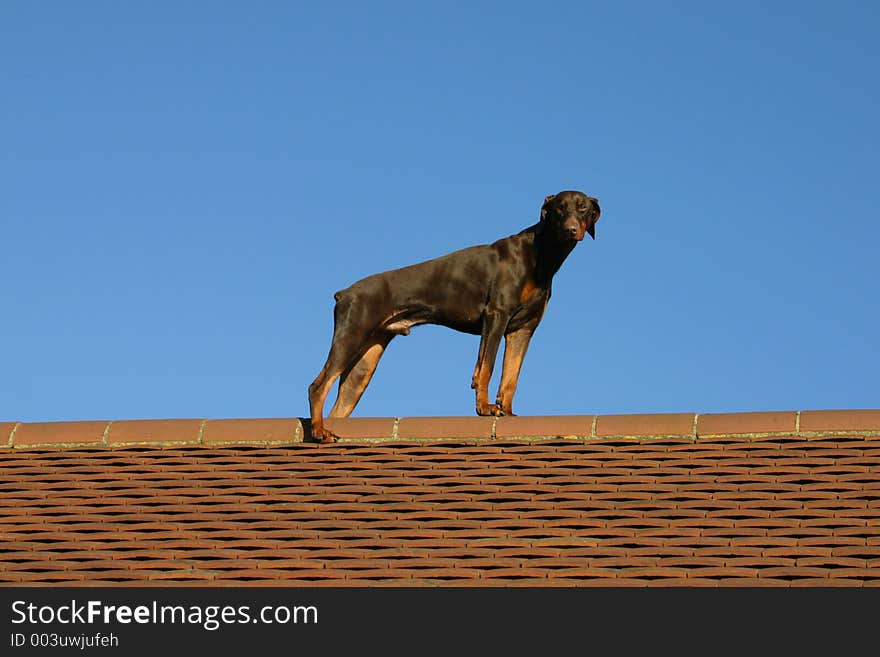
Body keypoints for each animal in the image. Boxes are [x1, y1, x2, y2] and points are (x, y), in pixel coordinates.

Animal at [306, 190, 600, 440]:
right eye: (560, 208)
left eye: (582, 207)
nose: (571, 230)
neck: (540, 254)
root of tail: (344, 293)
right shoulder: (496, 315)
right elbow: (486, 367)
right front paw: (484, 407)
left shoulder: (523, 330)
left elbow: (511, 377)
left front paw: (507, 412)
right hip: (351, 336)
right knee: (317, 386)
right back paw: (319, 431)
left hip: (364, 364)